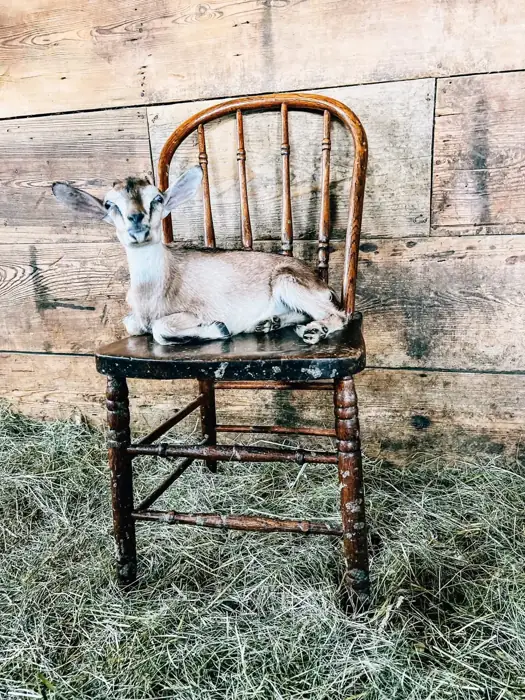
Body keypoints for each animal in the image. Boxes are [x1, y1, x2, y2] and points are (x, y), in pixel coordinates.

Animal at [52, 167, 347, 345]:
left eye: (157, 198)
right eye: (109, 204)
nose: (137, 221)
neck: (156, 290)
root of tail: (322, 283)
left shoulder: (195, 311)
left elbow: (161, 329)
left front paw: (217, 329)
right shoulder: (133, 319)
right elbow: (132, 325)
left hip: (287, 282)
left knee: (339, 315)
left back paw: (313, 331)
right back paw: (268, 323)